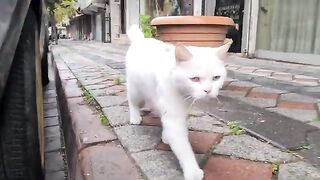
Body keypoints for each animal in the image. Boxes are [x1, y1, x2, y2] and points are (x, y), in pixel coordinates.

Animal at [125, 24, 230, 180]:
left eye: (216, 77)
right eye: (195, 79)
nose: (208, 90)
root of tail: (140, 40)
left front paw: (166, 136)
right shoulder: (173, 117)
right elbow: (183, 147)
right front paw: (192, 171)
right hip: (135, 89)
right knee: (132, 101)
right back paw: (135, 117)